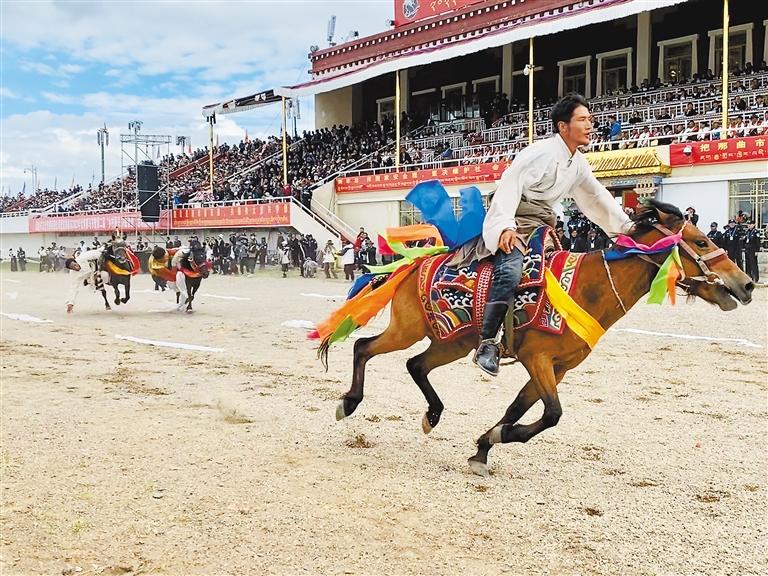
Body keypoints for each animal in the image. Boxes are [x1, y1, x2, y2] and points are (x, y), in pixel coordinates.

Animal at [326, 200, 754, 476]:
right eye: (701, 242)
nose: (747, 284)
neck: (589, 287)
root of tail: (415, 263)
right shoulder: (539, 360)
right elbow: (551, 415)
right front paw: (496, 438)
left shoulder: (556, 368)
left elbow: (518, 409)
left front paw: (484, 447)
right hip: (408, 330)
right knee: (364, 347)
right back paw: (348, 403)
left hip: (452, 341)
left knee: (415, 364)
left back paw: (432, 415)